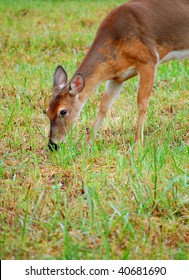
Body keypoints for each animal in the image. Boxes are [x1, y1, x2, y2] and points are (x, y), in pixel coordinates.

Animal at [45, 0, 189, 151]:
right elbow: (104, 106)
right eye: (46, 111)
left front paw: (137, 145)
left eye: (63, 112)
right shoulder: (117, 77)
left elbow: (142, 103)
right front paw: (88, 143)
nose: (52, 144)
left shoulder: (149, 60)